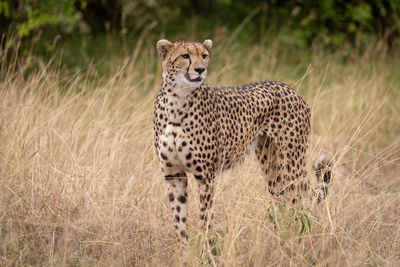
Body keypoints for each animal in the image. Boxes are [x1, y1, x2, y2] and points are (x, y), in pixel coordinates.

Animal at [153, 39, 332, 247]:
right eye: (185, 56)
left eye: (204, 56)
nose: (200, 69)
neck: (177, 101)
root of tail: (289, 87)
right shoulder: (174, 174)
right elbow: (179, 220)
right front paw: (184, 250)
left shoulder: (205, 176)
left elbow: (205, 218)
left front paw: (206, 249)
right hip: (270, 164)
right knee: (282, 199)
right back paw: (282, 238)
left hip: (291, 163)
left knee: (297, 201)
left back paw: (296, 240)